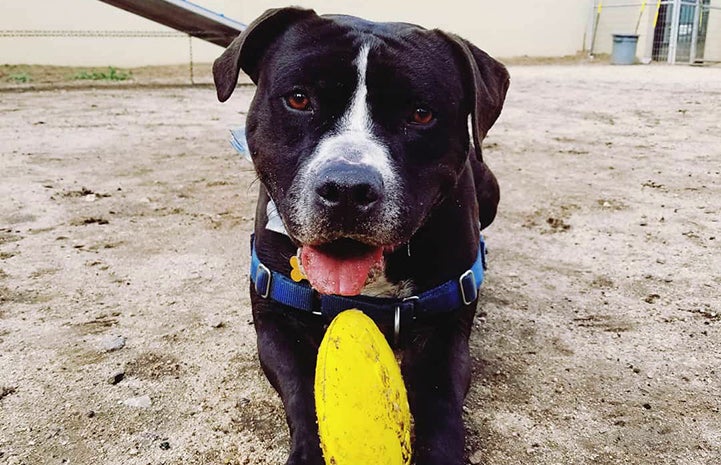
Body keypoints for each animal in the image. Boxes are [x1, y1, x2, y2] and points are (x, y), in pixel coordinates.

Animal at [212, 8, 506, 464]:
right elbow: (303, 391)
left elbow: (440, 401)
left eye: (421, 114)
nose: (348, 188)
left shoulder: (446, 329)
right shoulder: (276, 322)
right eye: (299, 99)